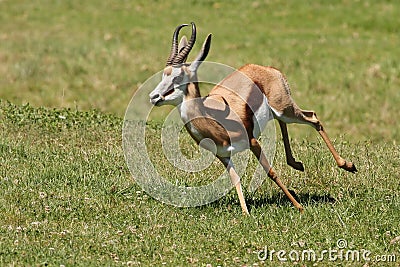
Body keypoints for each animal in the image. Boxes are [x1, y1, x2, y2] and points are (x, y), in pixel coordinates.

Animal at [149, 23, 356, 216]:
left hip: (285, 109)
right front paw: (245, 212)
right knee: (285, 123)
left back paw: (347, 165)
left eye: (178, 77)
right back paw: (296, 163)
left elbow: (270, 172)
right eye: (163, 74)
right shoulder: (223, 155)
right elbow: (235, 179)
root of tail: (268, 69)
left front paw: (299, 207)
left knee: (313, 118)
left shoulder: (253, 141)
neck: (213, 120)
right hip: (278, 112)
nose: (153, 96)